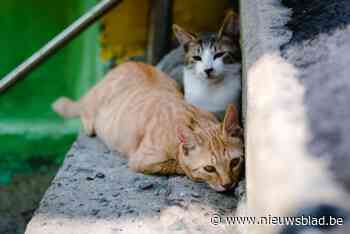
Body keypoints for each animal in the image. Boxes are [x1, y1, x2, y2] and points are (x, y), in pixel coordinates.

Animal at [53, 62, 243, 192]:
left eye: (234, 162)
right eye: (209, 168)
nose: (228, 184)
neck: (193, 120)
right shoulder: (141, 160)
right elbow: (177, 164)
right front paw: (187, 169)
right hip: (92, 111)